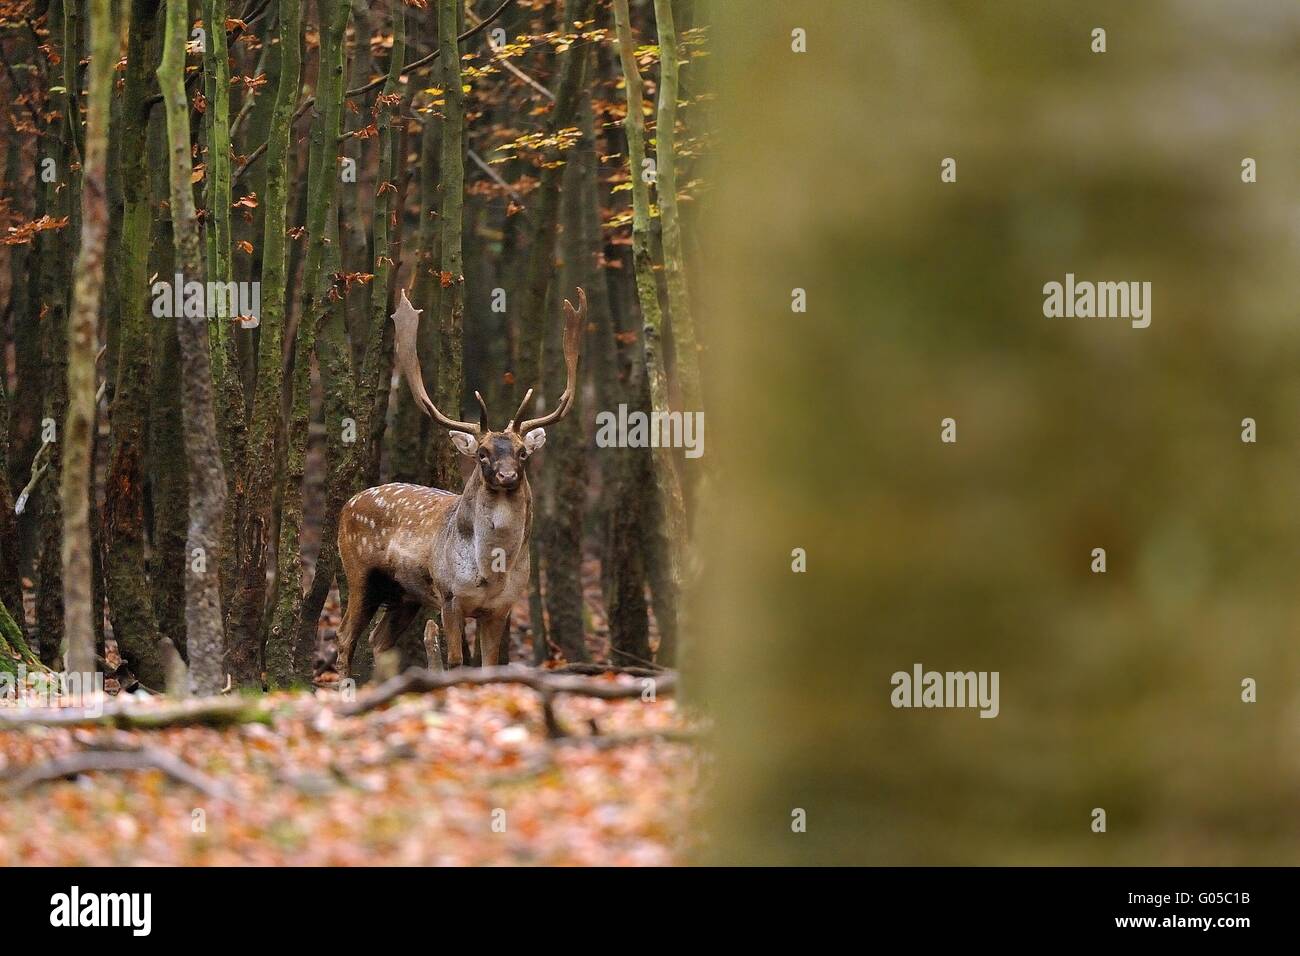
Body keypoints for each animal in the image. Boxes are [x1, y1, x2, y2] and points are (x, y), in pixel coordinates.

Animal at [335, 287, 585, 676]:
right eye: (482, 453)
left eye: (522, 453)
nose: (507, 475)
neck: (491, 573)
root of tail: (347, 505)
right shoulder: (450, 596)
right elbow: (454, 662)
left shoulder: (502, 607)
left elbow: (489, 664)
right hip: (360, 572)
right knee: (346, 636)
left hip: (405, 594)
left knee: (378, 639)